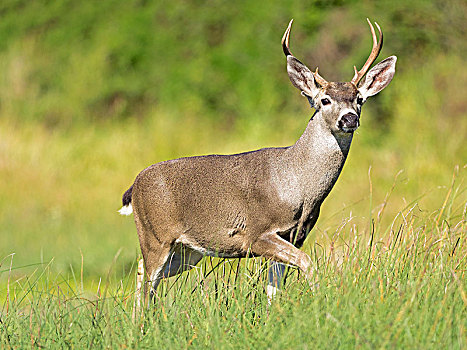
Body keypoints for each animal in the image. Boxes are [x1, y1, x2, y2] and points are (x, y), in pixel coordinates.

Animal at [119, 18, 396, 308]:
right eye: (324, 100)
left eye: (359, 99)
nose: (350, 118)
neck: (296, 186)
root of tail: (134, 187)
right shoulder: (256, 233)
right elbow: (308, 263)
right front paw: (322, 301)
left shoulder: (294, 235)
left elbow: (275, 287)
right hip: (155, 235)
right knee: (146, 278)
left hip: (187, 251)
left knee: (144, 273)